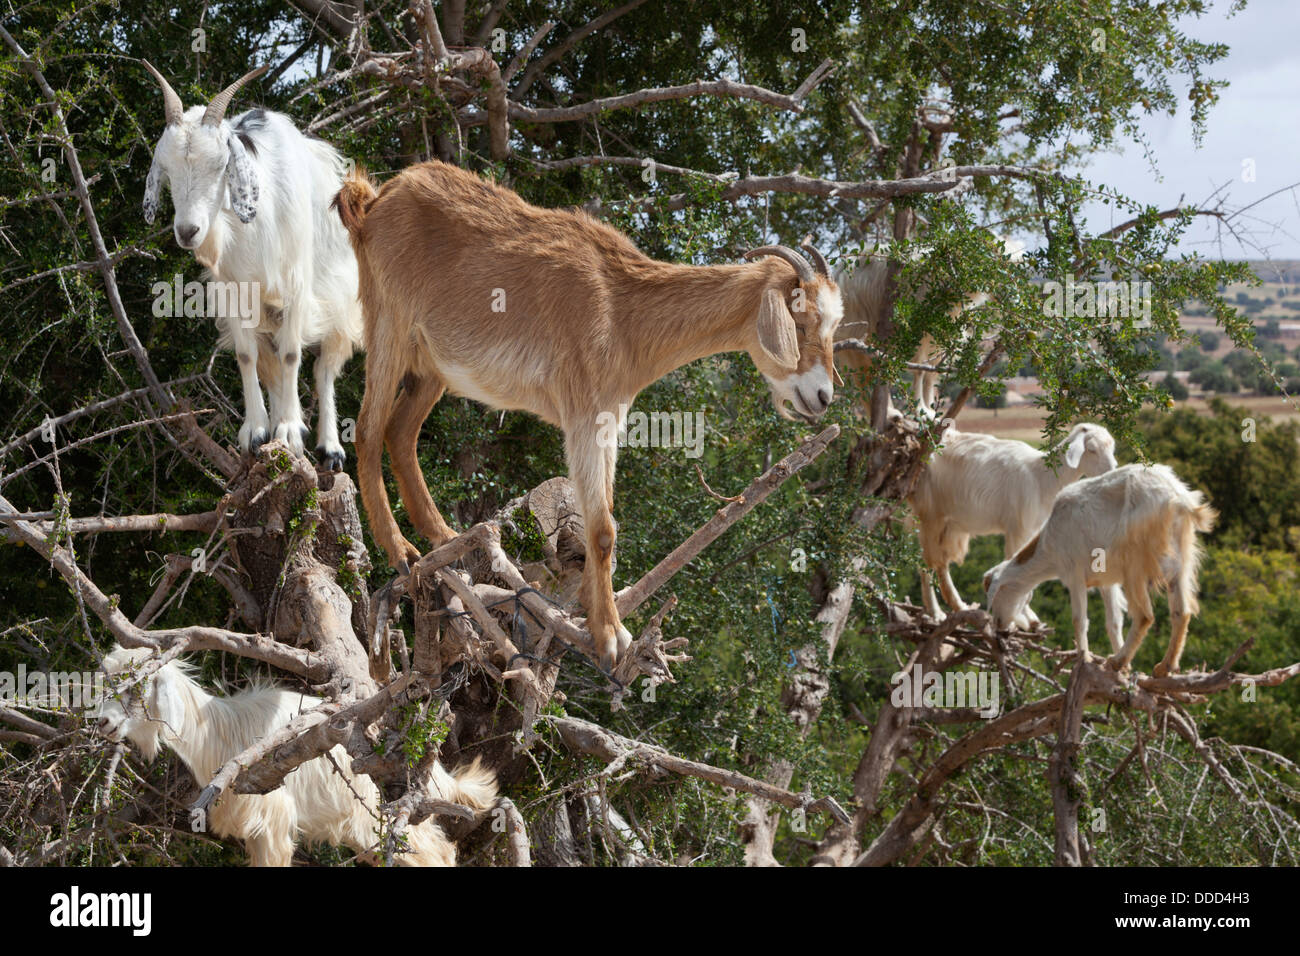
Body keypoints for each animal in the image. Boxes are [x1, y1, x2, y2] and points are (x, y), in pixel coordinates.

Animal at [94, 650, 496, 868]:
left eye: (137, 685)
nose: (103, 722)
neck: (218, 733)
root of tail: (440, 772)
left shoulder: (272, 819)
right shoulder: (254, 831)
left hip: (380, 813)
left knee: (437, 852)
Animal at [143, 61, 364, 468]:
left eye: (221, 165)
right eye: (165, 168)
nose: (188, 231)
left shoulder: (297, 287)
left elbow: (294, 355)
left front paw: (291, 431)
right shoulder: (232, 292)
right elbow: (247, 356)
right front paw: (256, 432)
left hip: (340, 302)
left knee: (324, 368)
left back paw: (328, 449)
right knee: (272, 368)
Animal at [335, 160, 842, 671]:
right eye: (800, 321)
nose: (823, 396)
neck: (625, 311)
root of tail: (376, 200)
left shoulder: (610, 418)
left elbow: (606, 523)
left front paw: (594, 611)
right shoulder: (582, 415)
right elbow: (602, 531)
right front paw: (609, 636)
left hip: (430, 364)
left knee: (401, 432)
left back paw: (442, 536)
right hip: (389, 326)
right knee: (368, 429)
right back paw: (400, 550)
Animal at [904, 424, 1118, 624]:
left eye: (1112, 447)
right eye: (1091, 449)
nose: (1112, 469)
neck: (1041, 478)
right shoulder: (1018, 528)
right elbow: (1014, 563)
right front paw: (1027, 618)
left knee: (935, 562)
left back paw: (955, 606)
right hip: (930, 513)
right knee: (929, 563)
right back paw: (936, 612)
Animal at [982, 465, 1216, 676]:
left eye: (998, 593)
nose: (999, 626)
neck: (1048, 546)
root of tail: (1177, 499)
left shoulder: (1074, 574)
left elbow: (1079, 620)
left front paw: (1083, 659)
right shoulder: (1106, 581)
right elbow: (1113, 622)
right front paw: (1126, 668)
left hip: (1134, 562)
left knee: (1144, 615)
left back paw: (1118, 661)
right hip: (1181, 557)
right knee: (1181, 612)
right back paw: (1163, 667)